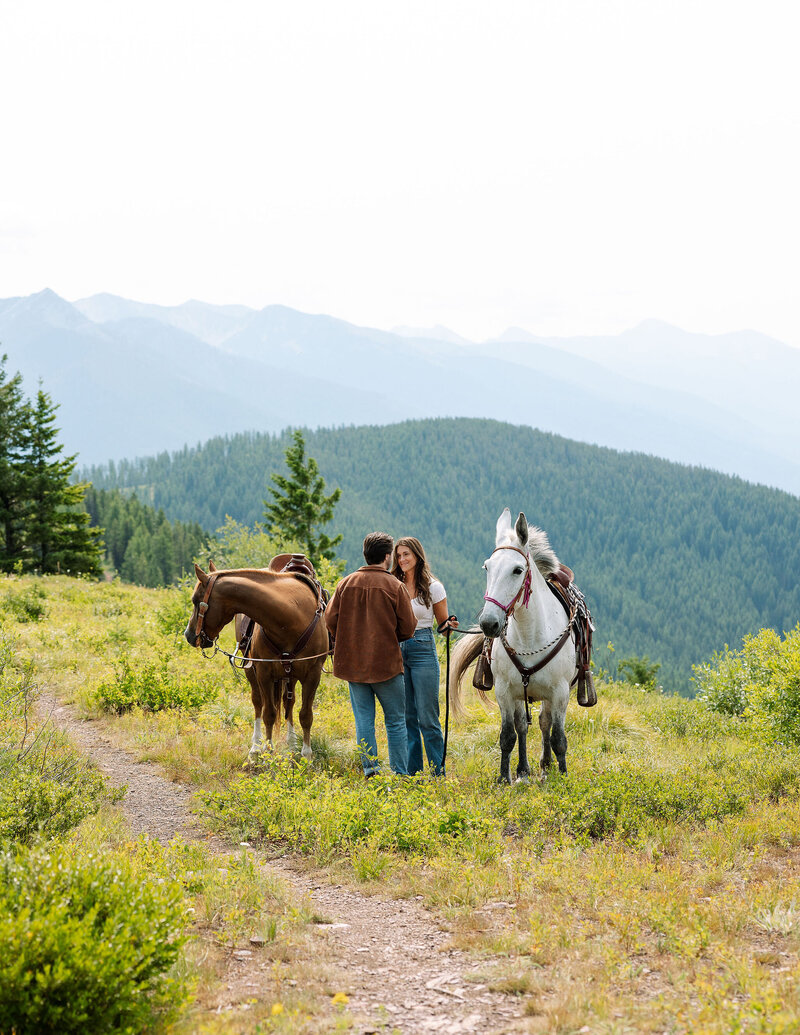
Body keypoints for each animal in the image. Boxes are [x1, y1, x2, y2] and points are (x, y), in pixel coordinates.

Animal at [184, 558, 327, 761]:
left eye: (196, 601)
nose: (188, 635)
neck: (291, 617)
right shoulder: (264, 673)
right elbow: (269, 714)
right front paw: (268, 751)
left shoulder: (313, 675)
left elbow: (306, 715)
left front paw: (306, 755)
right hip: (252, 671)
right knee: (258, 703)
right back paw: (255, 747)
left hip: (290, 675)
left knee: (289, 703)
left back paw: (292, 743)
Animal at [453, 509, 575, 782]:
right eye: (487, 567)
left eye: (518, 570)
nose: (489, 623)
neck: (530, 637)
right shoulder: (504, 692)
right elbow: (508, 735)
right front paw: (503, 778)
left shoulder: (560, 693)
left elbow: (559, 738)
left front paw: (563, 777)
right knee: (524, 725)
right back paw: (523, 769)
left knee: (544, 722)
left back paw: (546, 765)